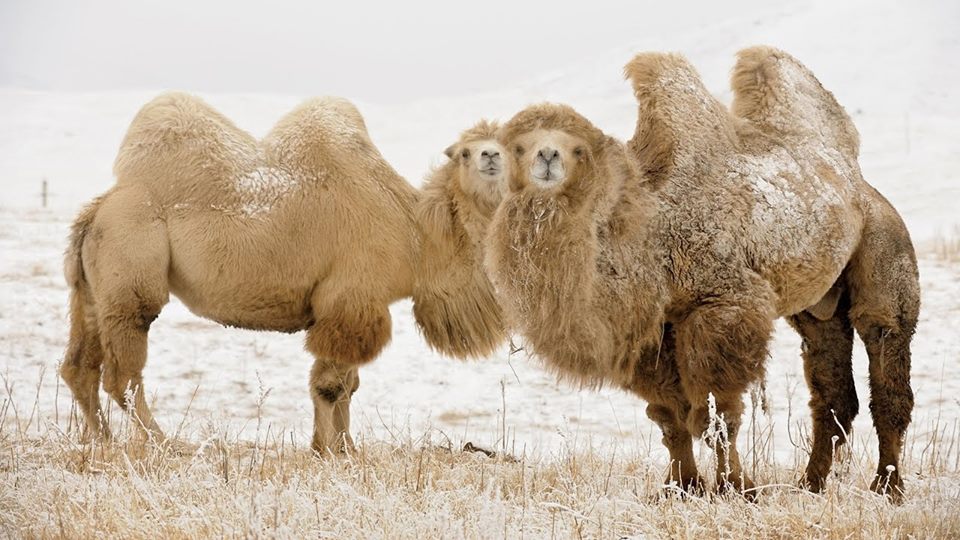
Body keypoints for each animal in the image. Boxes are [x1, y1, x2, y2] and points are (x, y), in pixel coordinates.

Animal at [58, 92, 510, 452]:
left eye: (506, 146)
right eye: (466, 151)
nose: (490, 156)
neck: (415, 236)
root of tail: (97, 209)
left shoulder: (355, 305)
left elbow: (348, 385)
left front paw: (344, 448)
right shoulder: (350, 300)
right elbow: (330, 386)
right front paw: (330, 451)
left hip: (94, 287)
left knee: (81, 367)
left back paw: (100, 441)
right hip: (131, 265)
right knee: (123, 373)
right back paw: (165, 443)